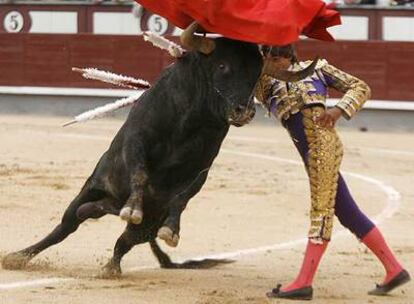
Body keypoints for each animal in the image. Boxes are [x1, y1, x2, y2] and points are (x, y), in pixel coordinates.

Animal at [0, 37, 262, 274]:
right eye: (222, 66)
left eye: (257, 74)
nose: (245, 111)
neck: (194, 116)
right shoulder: (137, 140)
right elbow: (140, 174)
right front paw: (134, 208)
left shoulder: (203, 165)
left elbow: (182, 196)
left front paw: (172, 230)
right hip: (90, 190)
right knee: (66, 226)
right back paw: (19, 257)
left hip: (146, 226)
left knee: (122, 241)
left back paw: (110, 267)